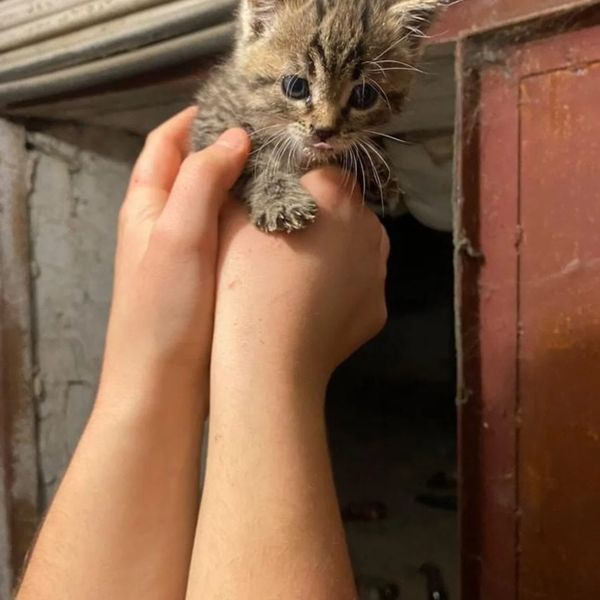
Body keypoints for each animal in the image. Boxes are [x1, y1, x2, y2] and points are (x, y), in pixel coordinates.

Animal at [192, 0, 446, 233]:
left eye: (364, 96)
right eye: (295, 87)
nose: (325, 131)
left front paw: (375, 173)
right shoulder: (214, 123)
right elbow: (256, 160)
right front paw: (280, 199)